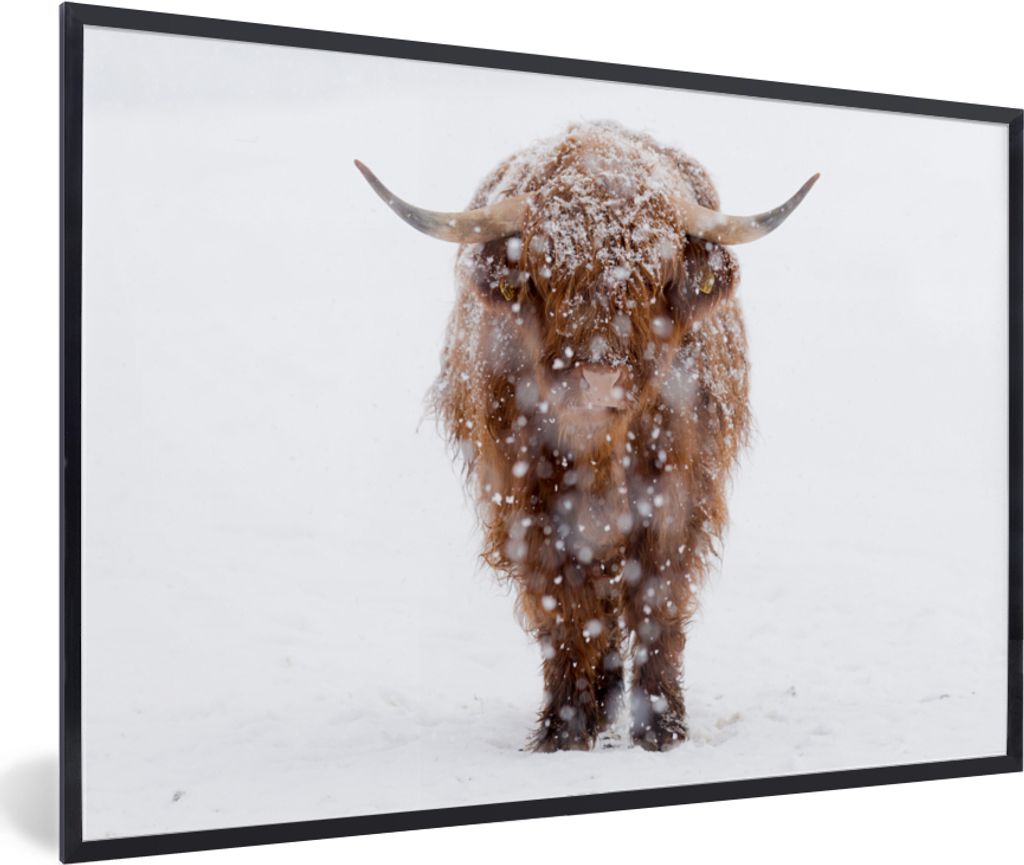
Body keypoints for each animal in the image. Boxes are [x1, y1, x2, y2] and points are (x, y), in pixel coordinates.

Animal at [355, 121, 817, 751]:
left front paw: (660, 728)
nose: (599, 375)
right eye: (549, 270)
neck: (599, 446)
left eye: (654, 274)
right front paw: (565, 729)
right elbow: (565, 607)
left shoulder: (676, 493)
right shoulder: (528, 502)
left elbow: (657, 596)